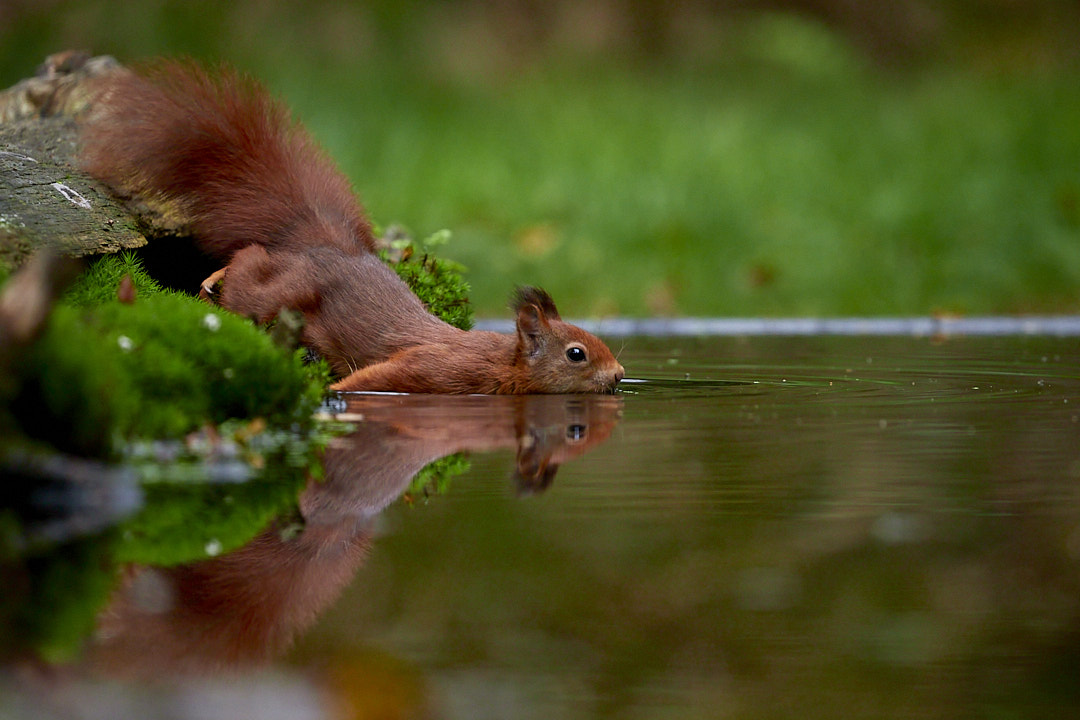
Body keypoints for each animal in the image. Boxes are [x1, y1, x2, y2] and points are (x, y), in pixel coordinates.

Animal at [79, 62, 626, 397]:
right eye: (577, 354)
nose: (620, 374)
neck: (502, 362)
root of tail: (327, 243)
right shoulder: (436, 370)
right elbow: (380, 375)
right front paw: (333, 393)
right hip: (278, 293)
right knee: (250, 262)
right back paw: (213, 280)